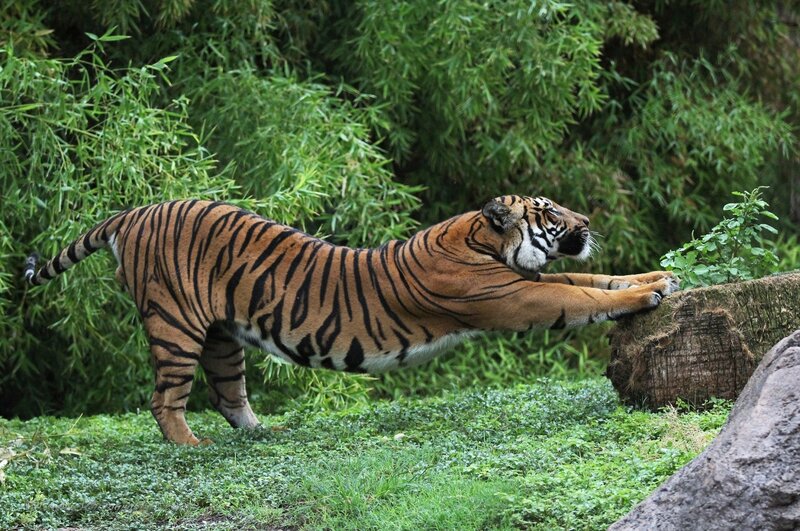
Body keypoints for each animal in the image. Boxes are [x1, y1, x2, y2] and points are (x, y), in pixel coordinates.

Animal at [24, 195, 678, 445]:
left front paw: (657, 277)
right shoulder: (517, 296)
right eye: (549, 212)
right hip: (176, 325)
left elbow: (595, 281)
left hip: (221, 337)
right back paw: (190, 445)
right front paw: (648, 293)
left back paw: (263, 433)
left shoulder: (528, 281)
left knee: (229, 394)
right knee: (165, 399)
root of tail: (133, 211)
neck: (481, 241)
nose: (587, 220)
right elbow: (582, 298)